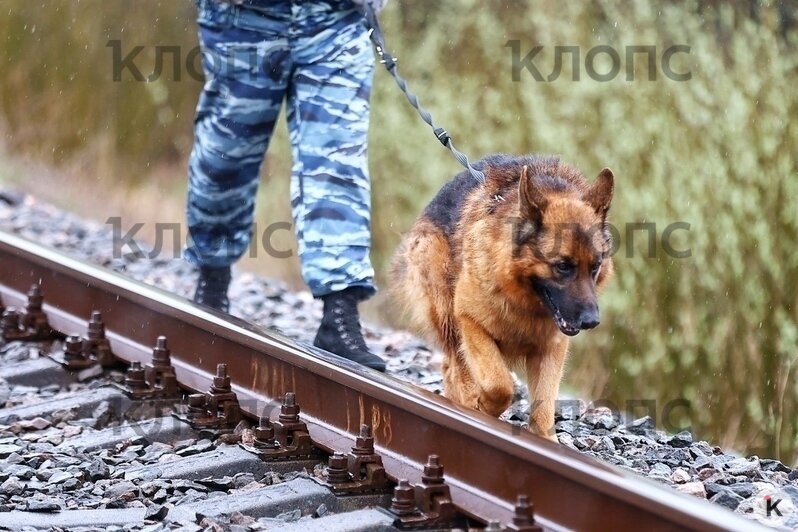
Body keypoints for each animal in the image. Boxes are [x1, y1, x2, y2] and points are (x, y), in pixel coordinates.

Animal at [390, 155, 616, 440]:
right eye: (563, 266)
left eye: (595, 266)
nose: (591, 321)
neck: (523, 299)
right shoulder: (470, 322)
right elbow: (500, 385)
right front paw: (484, 408)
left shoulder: (551, 349)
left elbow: (544, 406)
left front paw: (545, 440)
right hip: (449, 317)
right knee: (456, 368)